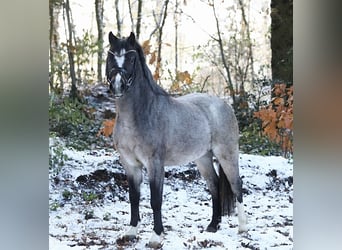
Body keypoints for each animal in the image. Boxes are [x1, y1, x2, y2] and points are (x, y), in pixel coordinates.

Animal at [105, 31, 247, 248]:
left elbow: (156, 200)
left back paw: (243, 227)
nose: (117, 85)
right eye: (110, 56)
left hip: (227, 154)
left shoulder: (155, 164)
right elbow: (134, 198)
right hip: (203, 158)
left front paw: (156, 237)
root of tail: (224, 104)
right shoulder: (130, 165)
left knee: (236, 185)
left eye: (130, 58)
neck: (140, 115)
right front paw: (131, 232)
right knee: (214, 186)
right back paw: (213, 226)